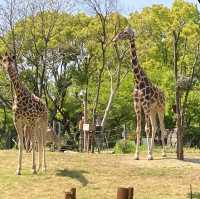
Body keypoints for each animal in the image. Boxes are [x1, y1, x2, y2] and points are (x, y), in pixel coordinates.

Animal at [113, 26, 166, 160]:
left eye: (125, 32)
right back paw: (152, 151)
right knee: (155, 127)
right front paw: (137, 155)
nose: (114, 39)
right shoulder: (137, 105)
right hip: (152, 110)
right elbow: (138, 129)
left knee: (162, 128)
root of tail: (164, 94)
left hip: (160, 109)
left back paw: (163, 153)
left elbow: (146, 129)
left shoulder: (145, 105)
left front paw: (149, 155)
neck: (137, 82)